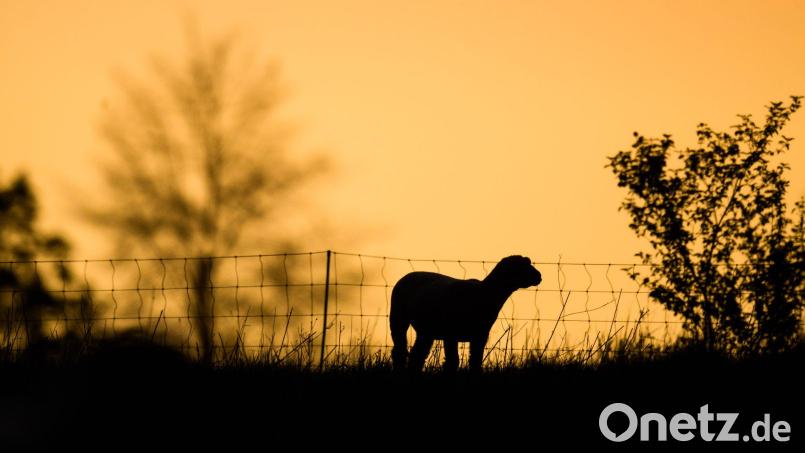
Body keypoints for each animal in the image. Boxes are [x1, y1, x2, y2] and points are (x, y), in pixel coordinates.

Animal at [390, 255, 542, 373]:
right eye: (523, 266)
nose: (539, 276)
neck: (485, 293)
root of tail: (406, 276)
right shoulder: (451, 333)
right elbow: (453, 361)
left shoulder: (480, 334)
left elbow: (475, 360)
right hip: (398, 317)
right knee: (400, 351)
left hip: (426, 330)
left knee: (417, 354)